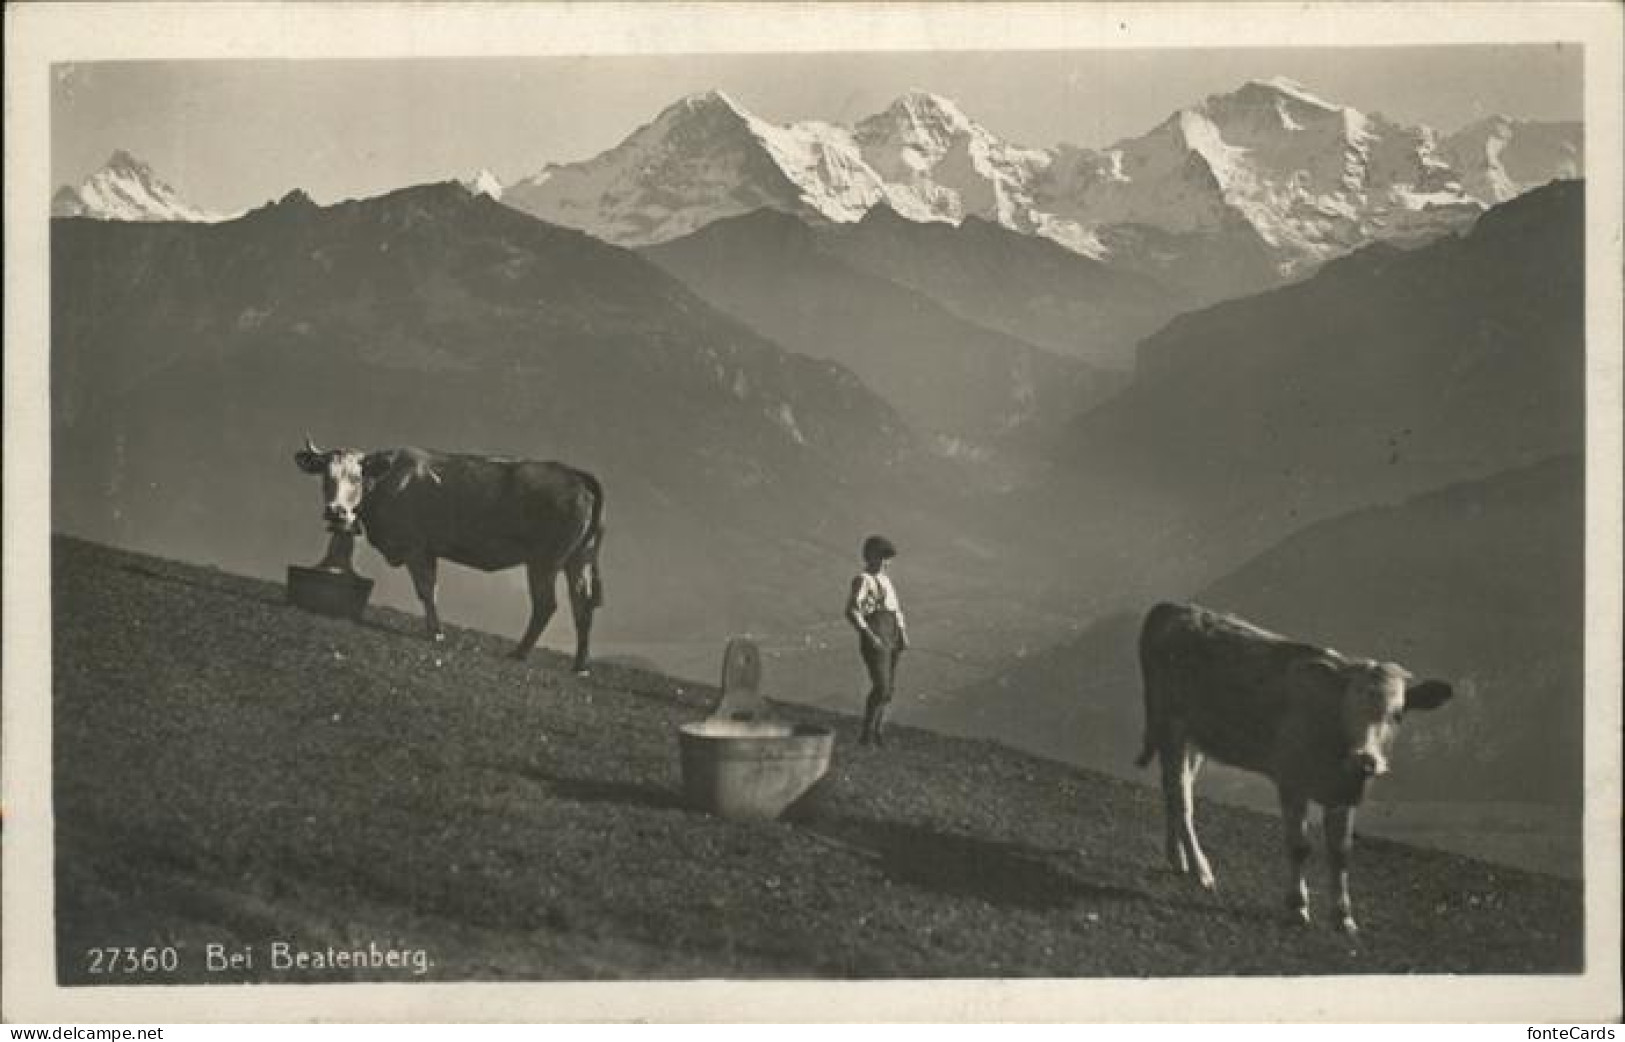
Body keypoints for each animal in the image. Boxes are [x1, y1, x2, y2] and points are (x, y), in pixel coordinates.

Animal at [295, 435, 607, 669]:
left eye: (356, 478)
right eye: (325, 477)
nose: (336, 511)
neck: (387, 482)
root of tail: (575, 474)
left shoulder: (415, 547)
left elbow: (425, 589)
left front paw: (436, 633)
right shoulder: (428, 550)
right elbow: (432, 589)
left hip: (545, 561)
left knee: (546, 605)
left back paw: (519, 653)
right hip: (578, 559)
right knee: (583, 606)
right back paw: (580, 665)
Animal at [1137, 601, 1456, 936]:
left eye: (1397, 715)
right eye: (1348, 707)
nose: (1366, 759)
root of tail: (1174, 607)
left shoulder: (1343, 796)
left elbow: (1341, 854)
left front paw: (1343, 916)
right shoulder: (1292, 782)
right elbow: (1299, 847)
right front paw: (1297, 906)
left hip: (1195, 740)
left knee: (1173, 789)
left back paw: (1177, 859)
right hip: (1170, 725)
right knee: (1181, 798)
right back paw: (1200, 869)